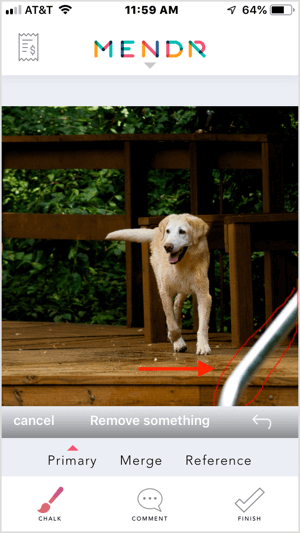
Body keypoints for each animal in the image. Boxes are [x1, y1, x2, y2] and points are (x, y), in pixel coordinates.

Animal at [106, 212, 212, 354]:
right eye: (168, 231)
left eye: (182, 231)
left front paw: (203, 346)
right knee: (174, 309)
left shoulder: (203, 295)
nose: (167, 247)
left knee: (177, 302)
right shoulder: (165, 291)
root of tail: (157, 230)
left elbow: (203, 326)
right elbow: (171, 323)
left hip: (186, 288)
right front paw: (177, 341)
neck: (181, 265)